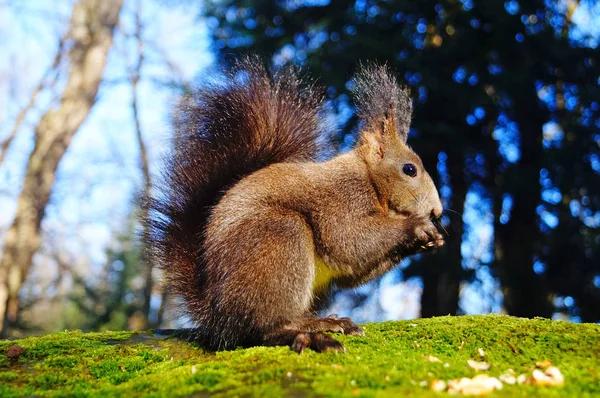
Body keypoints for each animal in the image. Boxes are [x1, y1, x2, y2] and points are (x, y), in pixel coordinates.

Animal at [144, 57, 446, 352]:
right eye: (409, 169)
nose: (437, 211)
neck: (369, 179)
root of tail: (213, 311)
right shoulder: (341, 199)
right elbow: (347, 239)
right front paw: (416, 226)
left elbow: (352, 272)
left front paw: (430, 240)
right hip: (279, 238)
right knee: (260, 329)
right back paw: (310, 334)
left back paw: (326, 322)